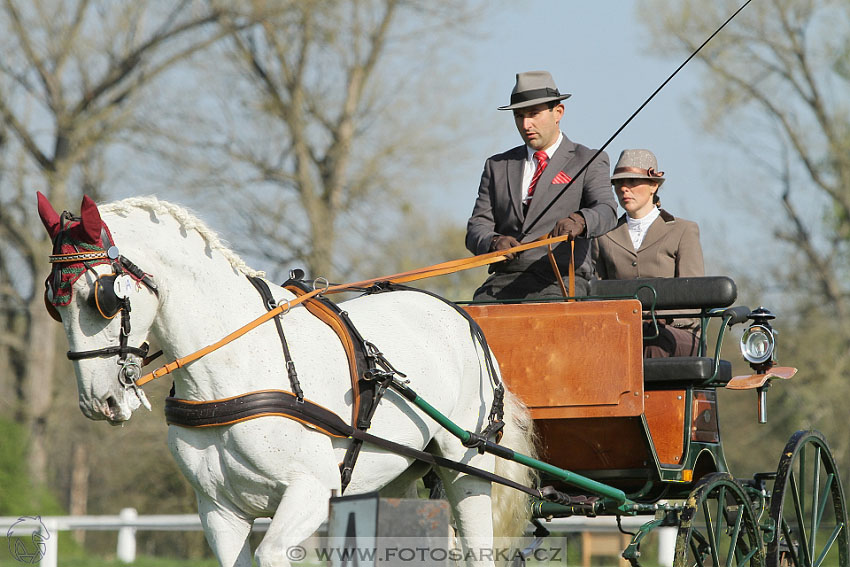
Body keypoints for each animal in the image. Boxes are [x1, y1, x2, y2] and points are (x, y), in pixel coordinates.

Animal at [39, 193, 532, 564]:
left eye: (101, 297)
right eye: (54, 304)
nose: (98, 401)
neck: (235, 370)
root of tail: (460, 315)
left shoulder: (311, 491)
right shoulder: (219, 512)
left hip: (465, 466)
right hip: (398, 477)